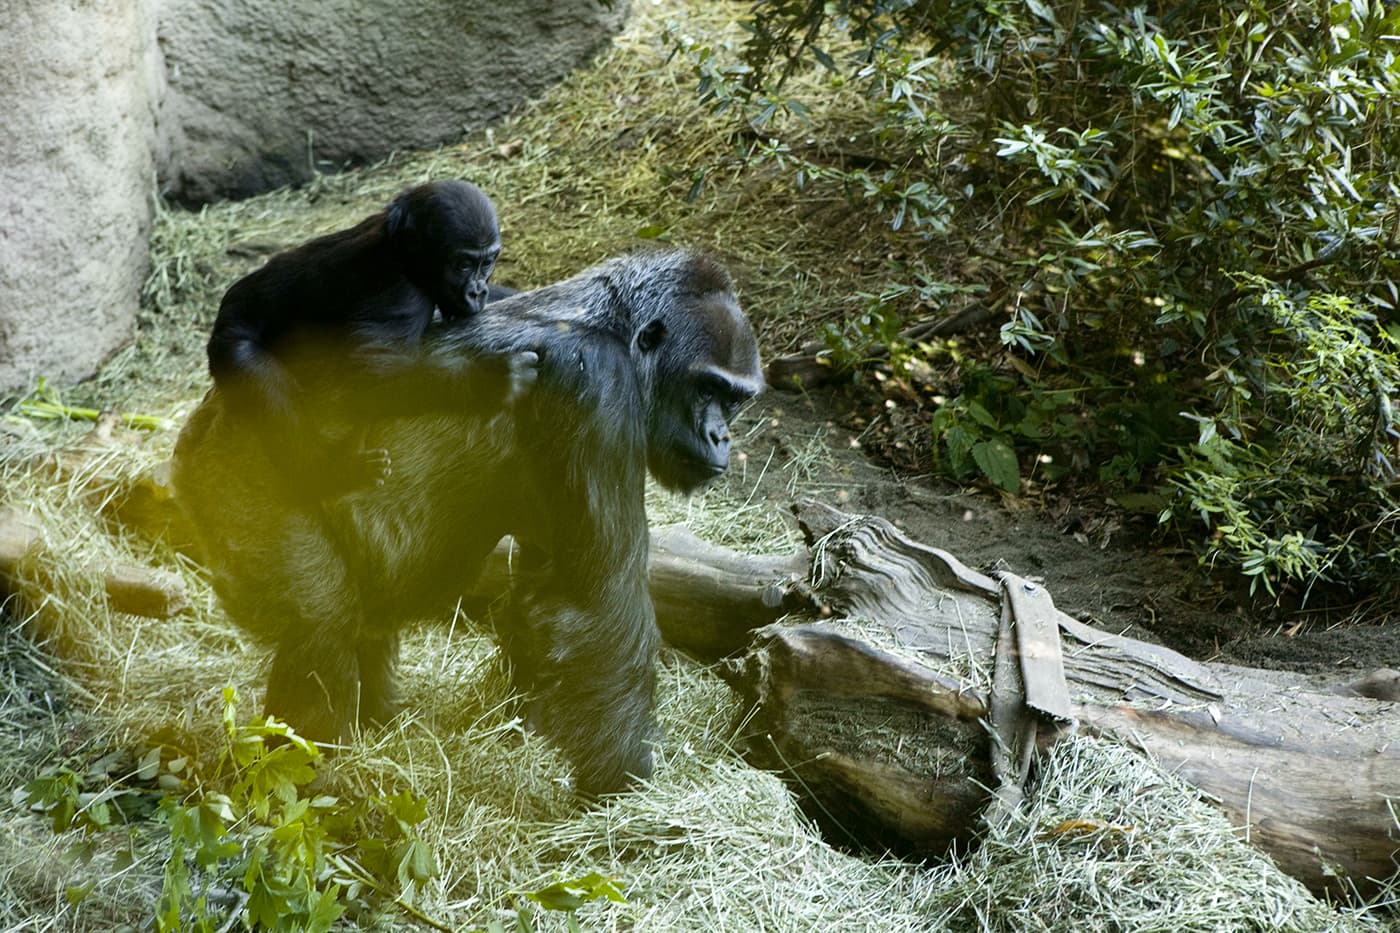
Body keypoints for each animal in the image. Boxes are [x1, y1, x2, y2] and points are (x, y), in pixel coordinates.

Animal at [177, 249, 767, 790]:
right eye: (707, 388)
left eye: (736, 399)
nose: (721, 437)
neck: (614, 327)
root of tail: (201, 425)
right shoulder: (596, 383)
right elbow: (598, 606)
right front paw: (626, 789)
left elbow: (549, 595)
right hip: (235, 483)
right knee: (319, 625)